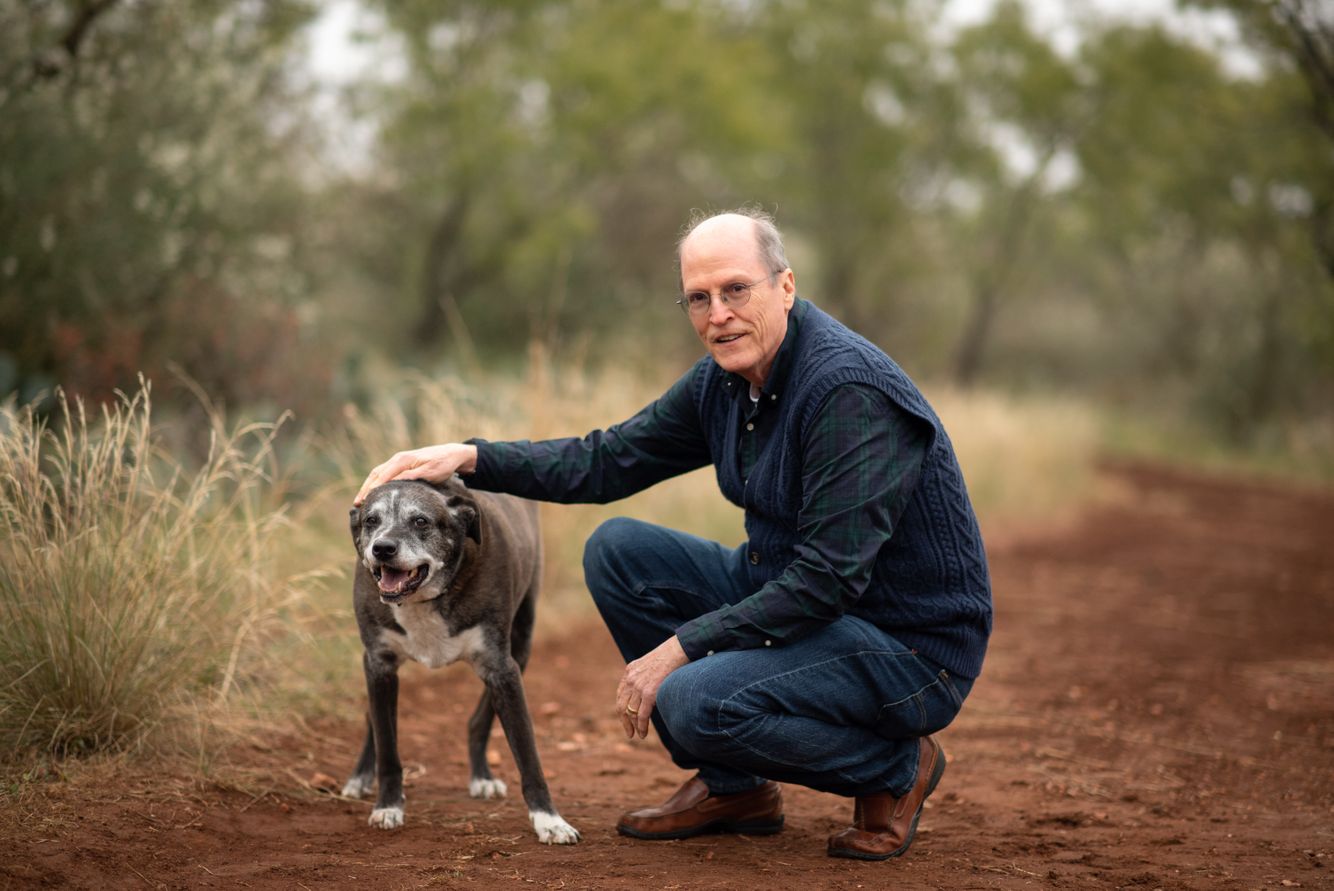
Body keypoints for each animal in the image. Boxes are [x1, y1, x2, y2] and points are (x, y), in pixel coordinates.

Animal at [341, 472, 576, 842]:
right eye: (371, 521)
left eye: (421, 521)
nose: (382, 548)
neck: (423, 598)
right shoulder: (379, 664)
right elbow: (387, 744)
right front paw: (388, 806)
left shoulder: (502, 669)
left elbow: (528, 754)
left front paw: (549, 820)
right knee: (375, 722)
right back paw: (362, 775)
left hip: (522, 643)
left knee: (478, 721)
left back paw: (482, 776)